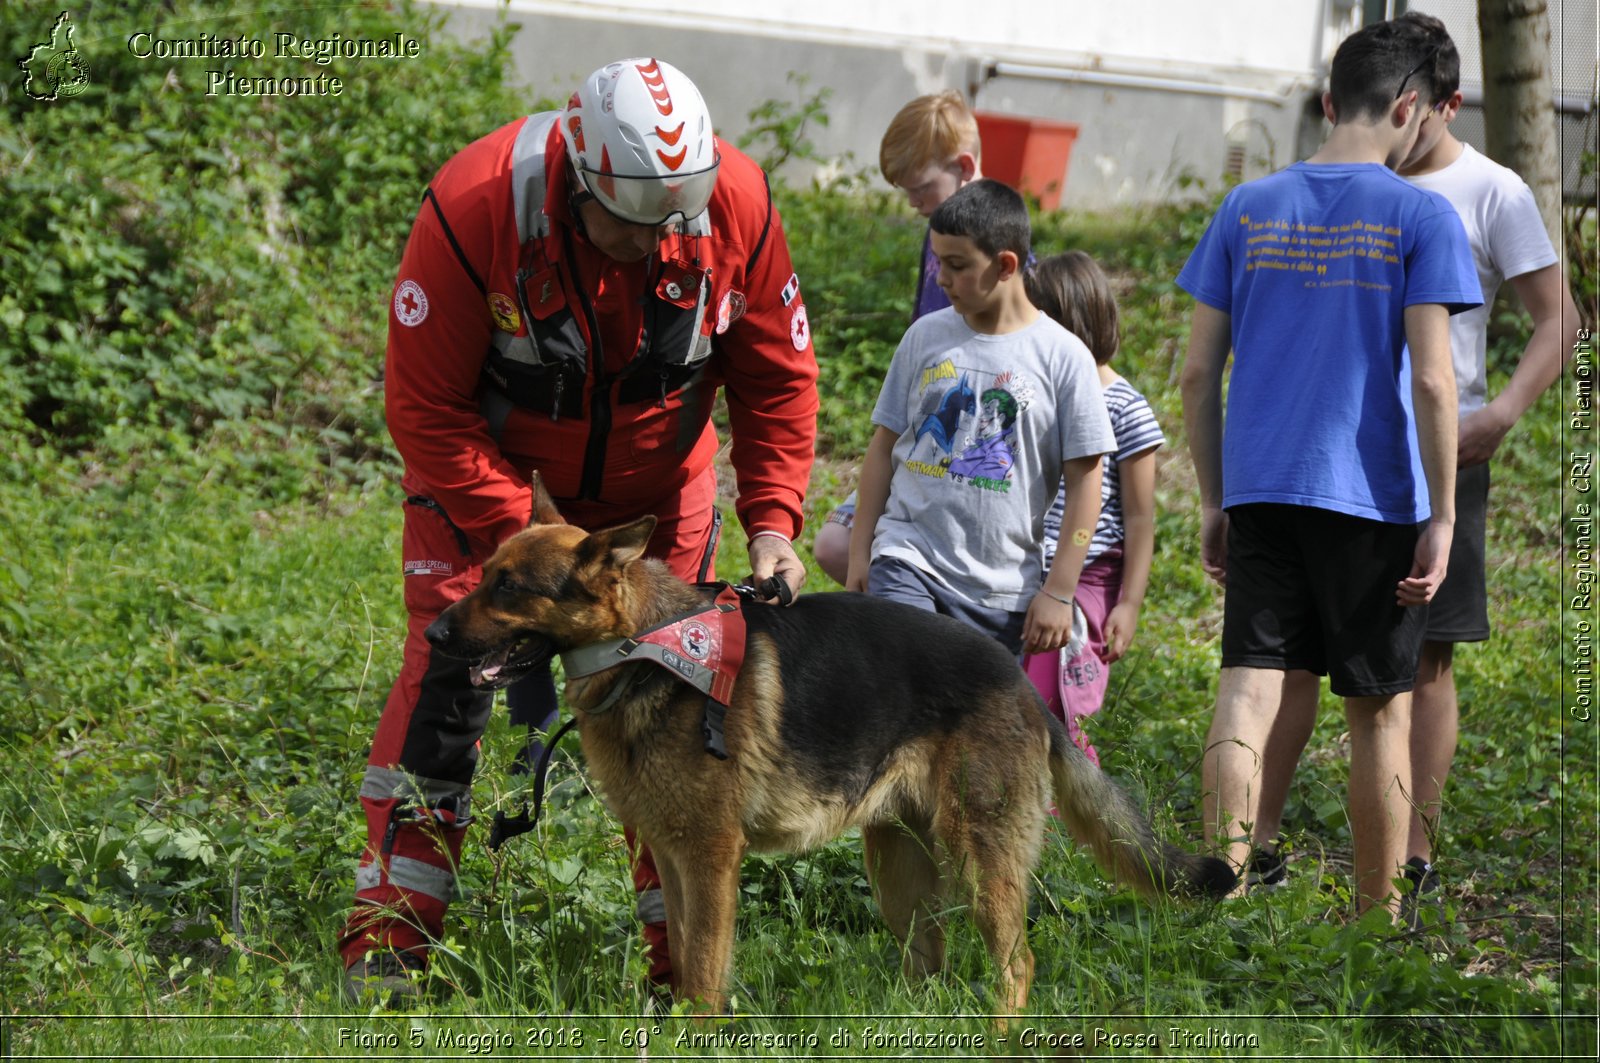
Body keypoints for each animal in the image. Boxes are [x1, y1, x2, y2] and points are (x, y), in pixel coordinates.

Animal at [422, 499, 1222, 1011]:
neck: (646, 648)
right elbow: (681, 955)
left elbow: (704, 970)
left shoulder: (710, 857)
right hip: (898, 867)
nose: (432, 633)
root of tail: (1020, 681)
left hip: (980, 856)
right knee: (929, 961)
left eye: (509, 587)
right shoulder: (675, 858)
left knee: (1015, 963)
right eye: (486, 573)